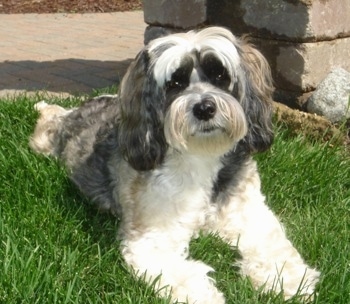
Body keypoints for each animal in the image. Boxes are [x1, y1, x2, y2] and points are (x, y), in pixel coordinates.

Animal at [30, 26, 320, 304]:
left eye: (219, 75)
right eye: (175, 83)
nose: (204, 108)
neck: (201, 154)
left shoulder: (250, 214)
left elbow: (273, 247)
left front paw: (288, 281)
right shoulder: (151, 237)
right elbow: (183, 274)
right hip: (48, 138)